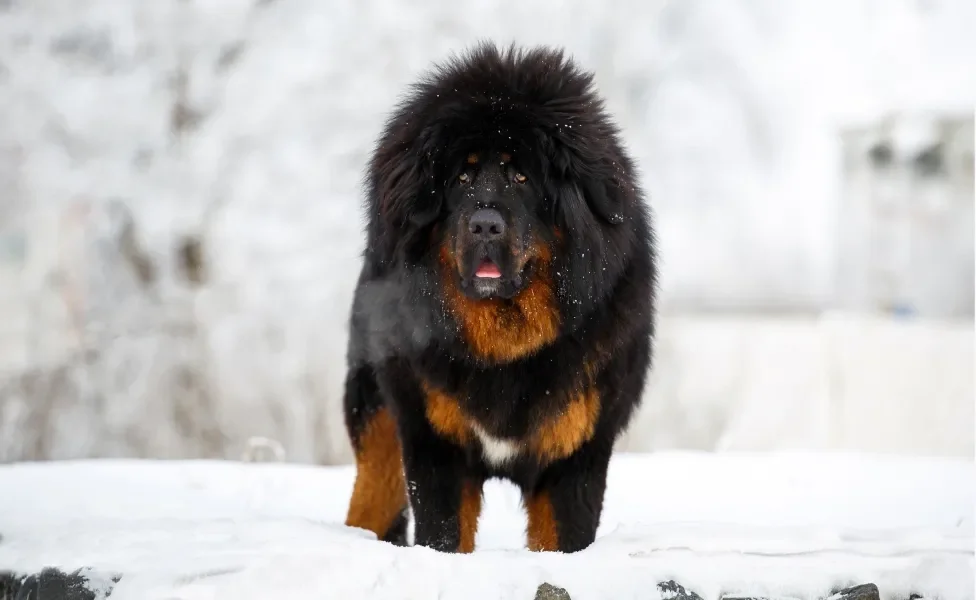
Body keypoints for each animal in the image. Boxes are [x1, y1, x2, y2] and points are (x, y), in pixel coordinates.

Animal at [342, 41, 656, 552]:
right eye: (461, 179)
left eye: (522, 178)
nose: (485, 225)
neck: (506, 344)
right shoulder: (434, 442)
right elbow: (443, 534)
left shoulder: (575, 452)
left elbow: (564, 536)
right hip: (377, 414)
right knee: (374, 492)